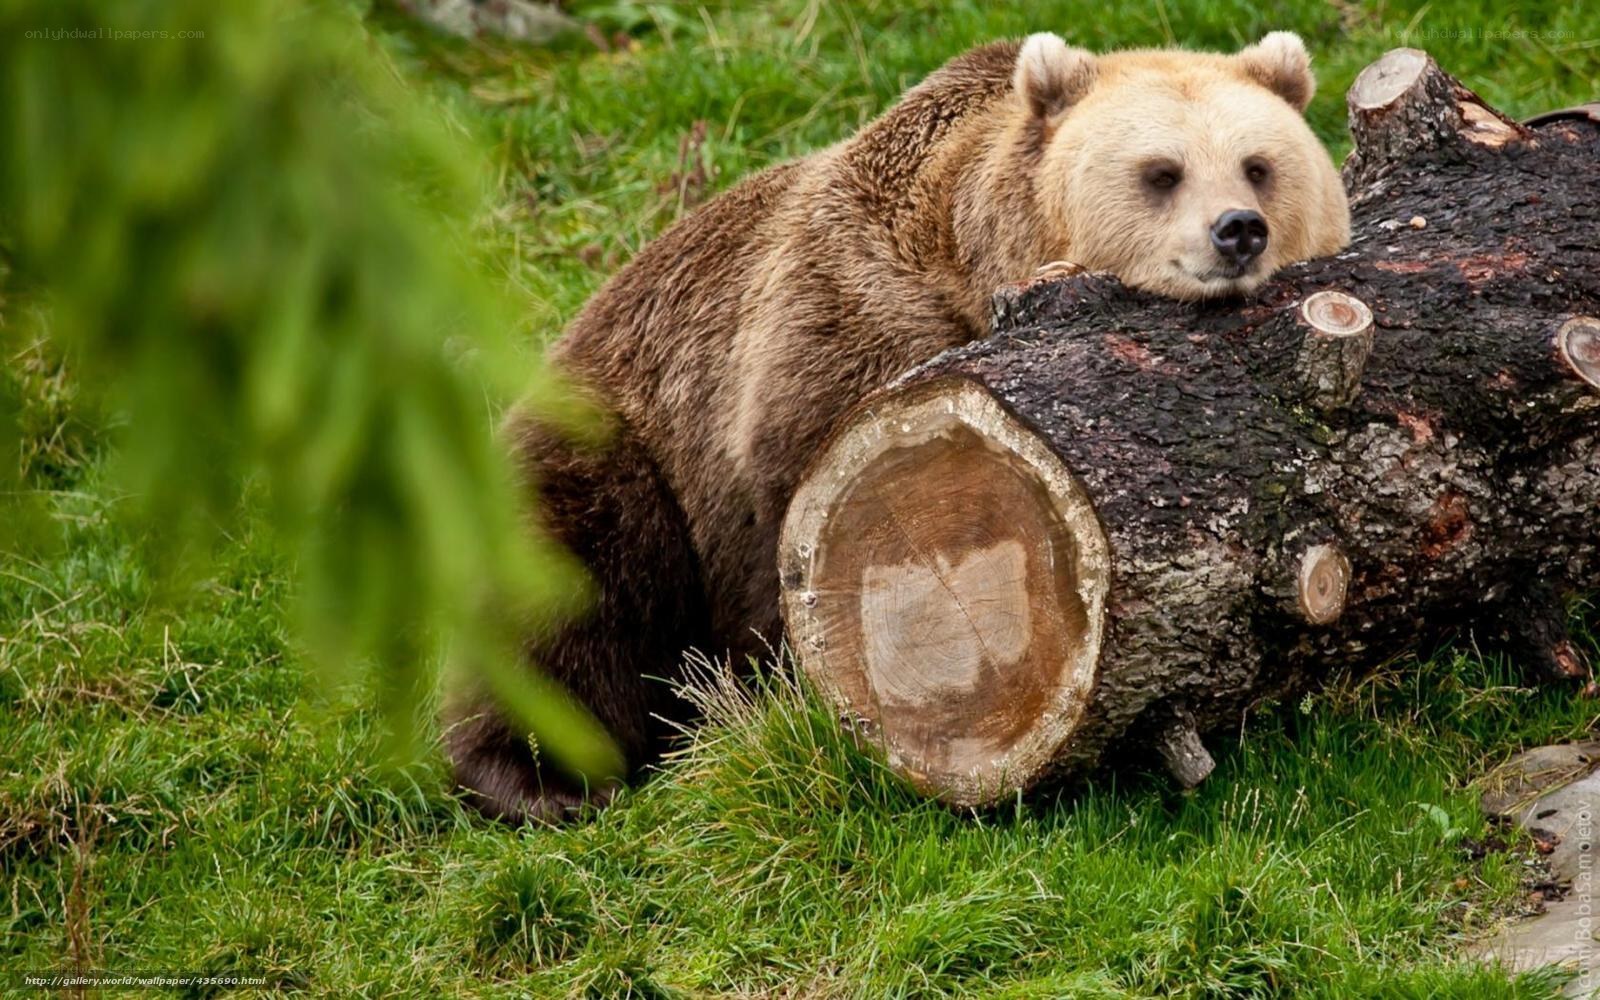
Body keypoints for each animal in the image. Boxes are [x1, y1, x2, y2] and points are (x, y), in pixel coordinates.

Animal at [445, 30, 1352, 822]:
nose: (1237, 231)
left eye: (1258, 165)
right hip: (619, 444)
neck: (977, 260)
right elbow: (791, 513)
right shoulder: (841, 330)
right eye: (1161, 172)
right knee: (563, 588)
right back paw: (542, 782)